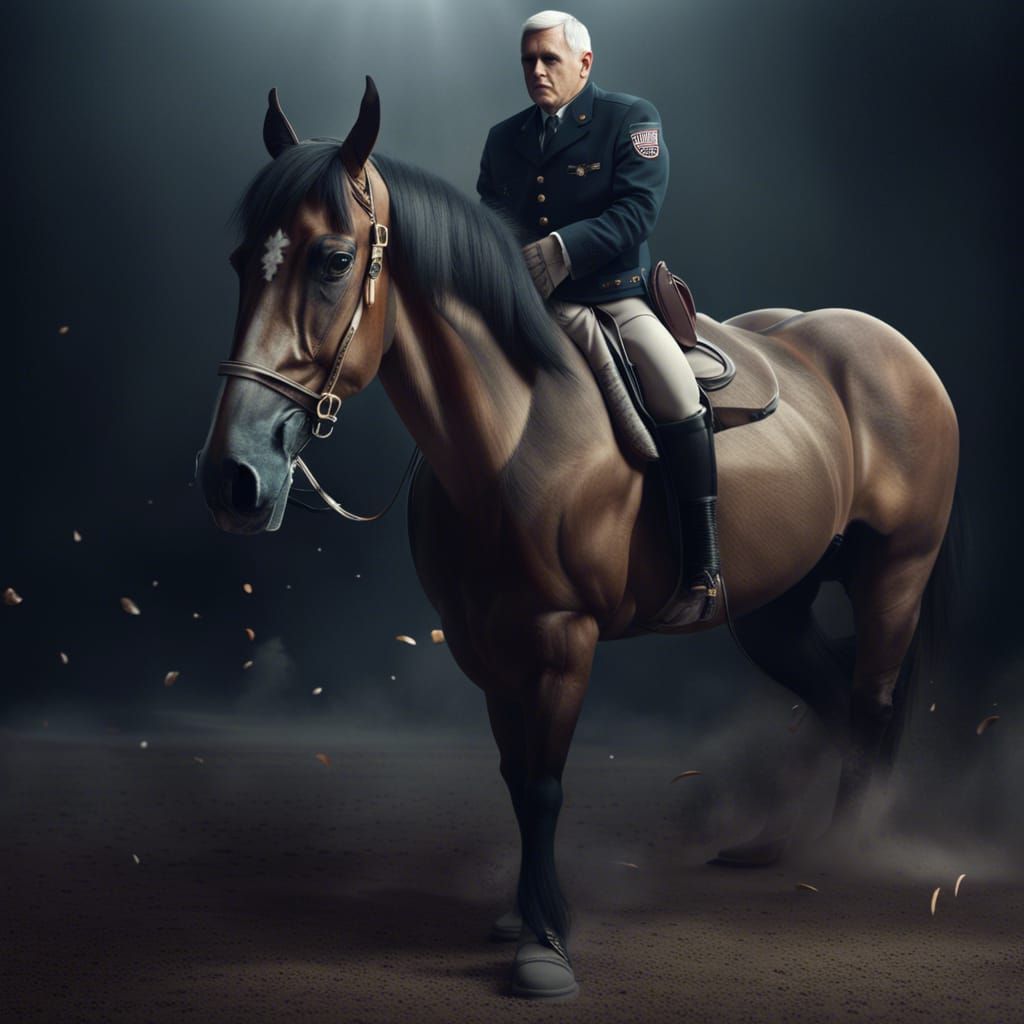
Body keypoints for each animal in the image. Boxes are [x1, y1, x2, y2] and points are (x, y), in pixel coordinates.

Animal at [198, 79, 960, 1001]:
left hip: (895, 573)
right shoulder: (485, 643)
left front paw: (546, 945)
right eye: (243, 262)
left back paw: (844, 854)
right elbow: (513, 778)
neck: (514, 428)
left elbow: (545, 787)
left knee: (871, 698)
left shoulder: (562, 641)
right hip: (776, 606)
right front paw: (520, 912)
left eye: (334, 261)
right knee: (831, 695)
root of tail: (894, 348)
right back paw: (779, 845)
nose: (232, 477)